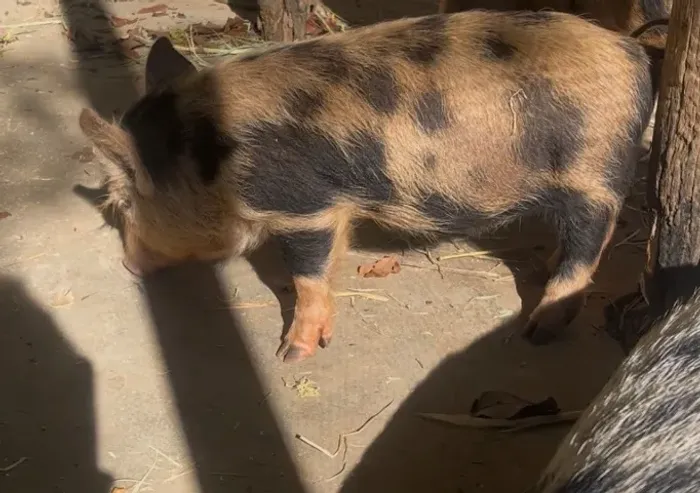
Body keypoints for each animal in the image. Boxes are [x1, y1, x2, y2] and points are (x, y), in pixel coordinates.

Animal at [78, 10, 654, 362]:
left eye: (125, 203)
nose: (128, 263)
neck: (207, 157)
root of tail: (634, 54)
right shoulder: (327, 212)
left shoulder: (302, 207)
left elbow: (307, 276)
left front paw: (291, 355)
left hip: (593, 175)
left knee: (590, 241)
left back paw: (538, 330)